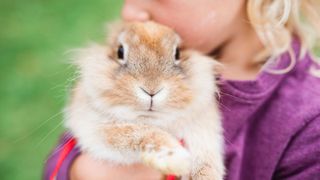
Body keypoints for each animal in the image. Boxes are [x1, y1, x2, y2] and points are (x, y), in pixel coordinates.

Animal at [65, 21, 225, 180]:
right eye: (120, 52)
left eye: (177, 53)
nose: (151, 90)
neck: (151, 119)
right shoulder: (100, 129)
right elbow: (141, 133)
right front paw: (176, 160)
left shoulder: (203, 129)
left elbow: (205, 154)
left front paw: (204, 175)